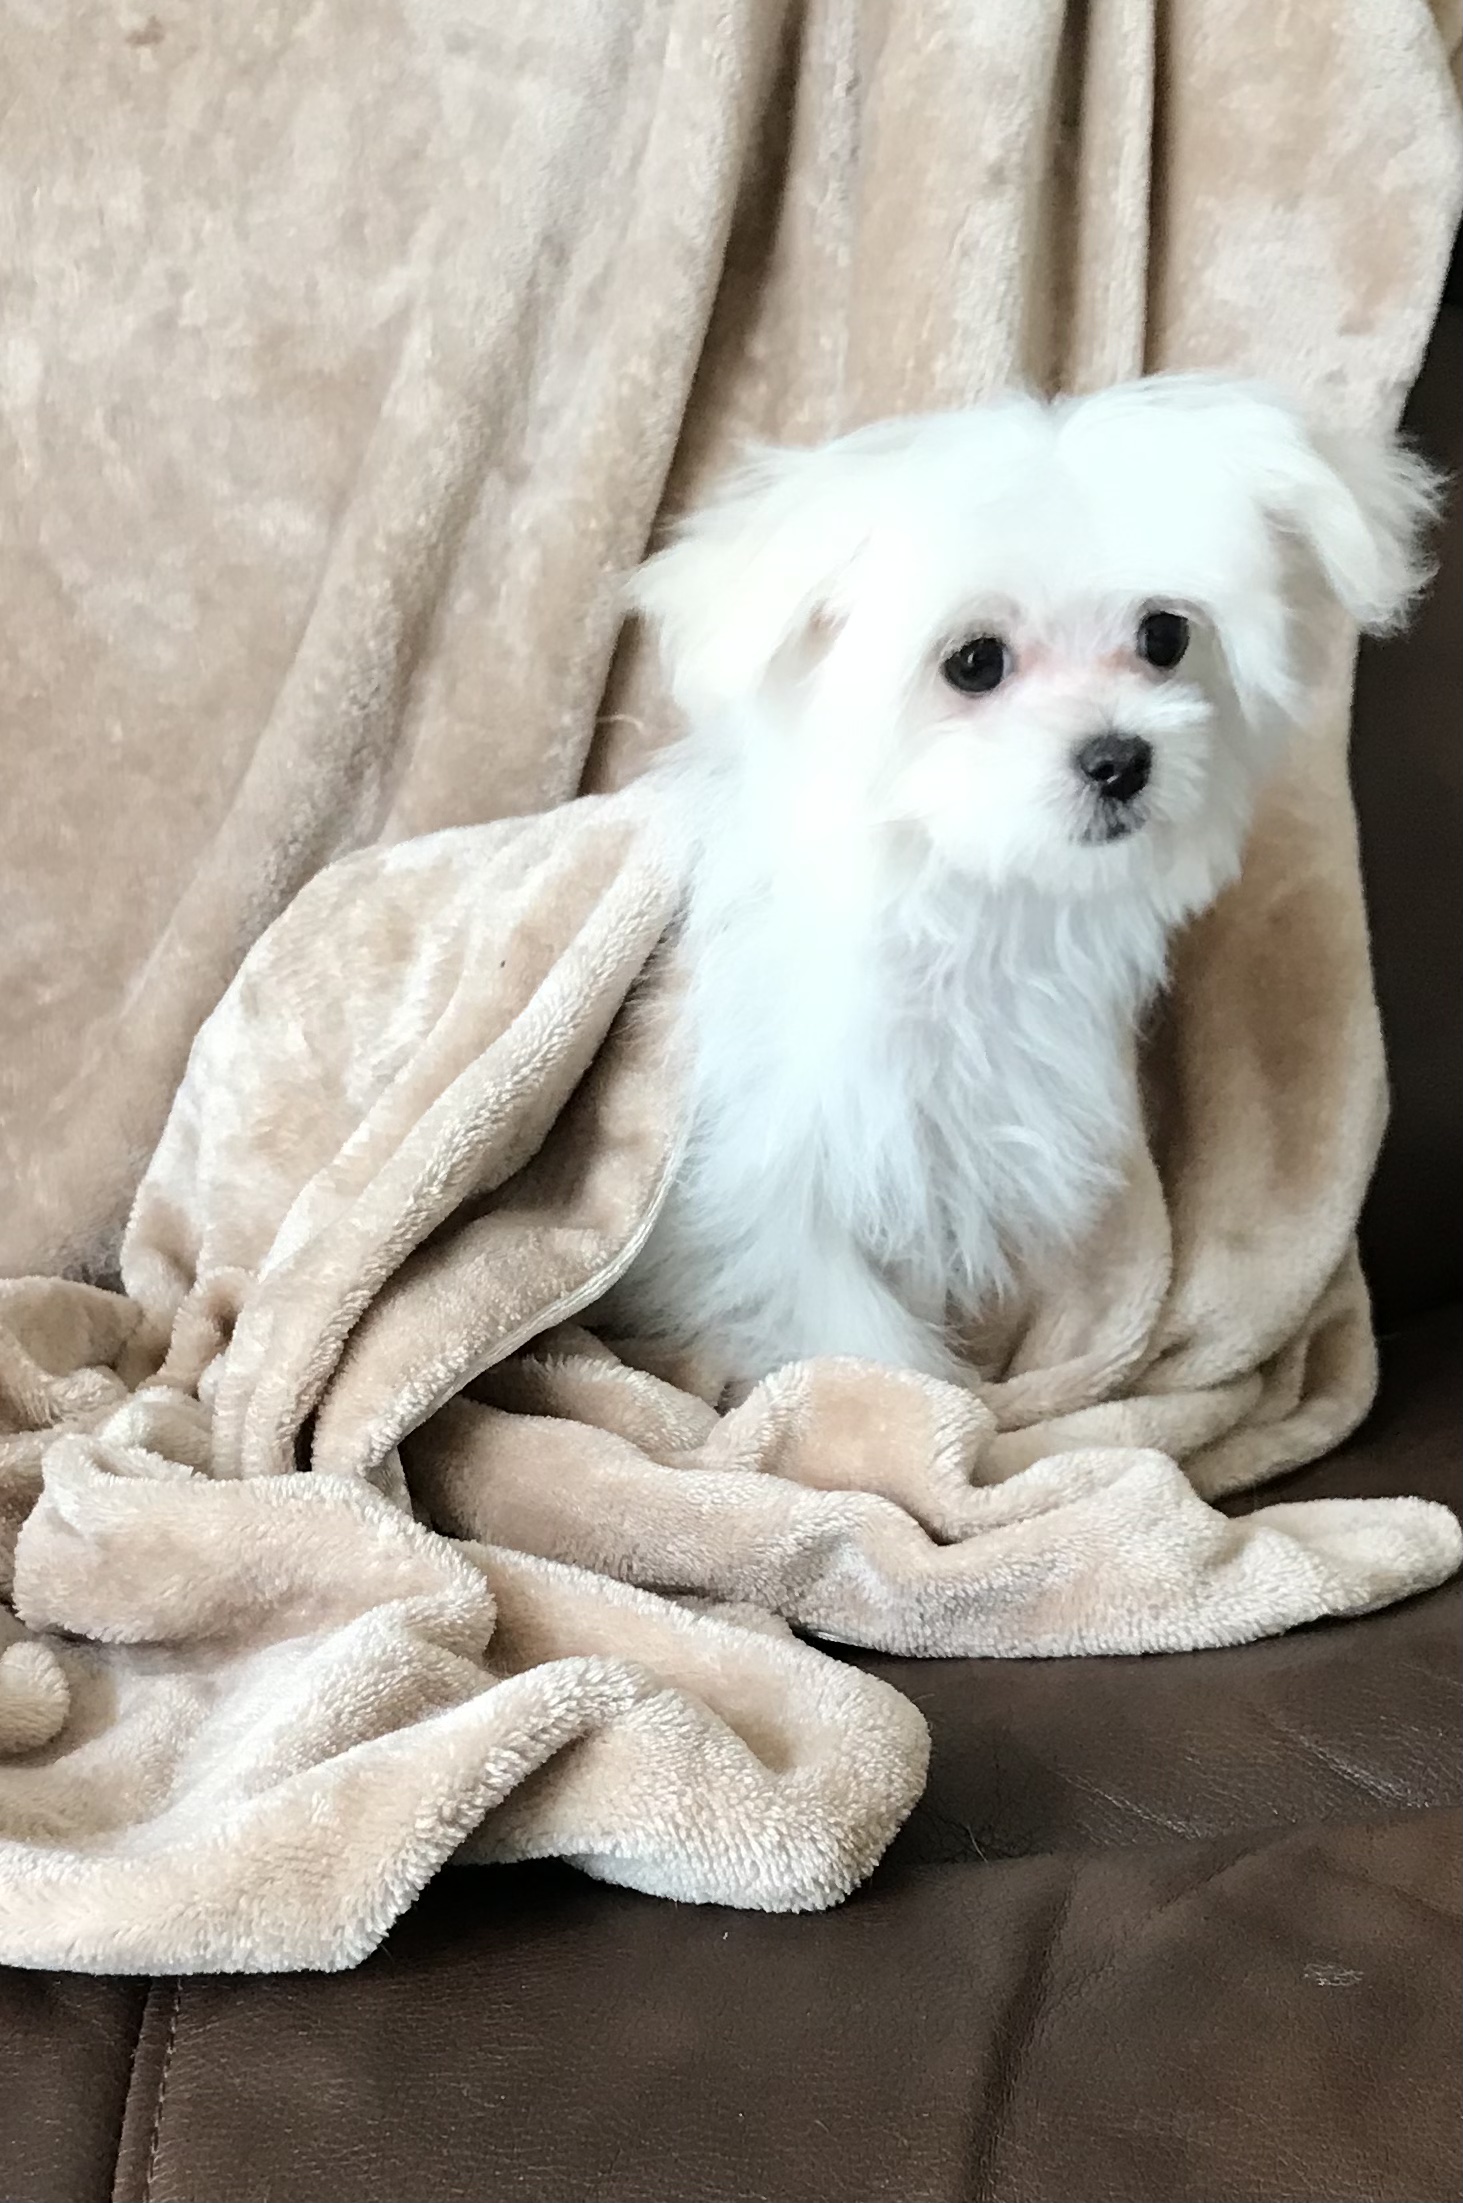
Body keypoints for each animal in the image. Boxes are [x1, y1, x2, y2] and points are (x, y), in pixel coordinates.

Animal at [601, 376, 1435, 1388]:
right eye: (974, 662)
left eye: (1164, 634)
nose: (1119, 759)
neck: (960, 903)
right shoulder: (760, 1168)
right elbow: (845, 1322)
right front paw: (916, 1405)